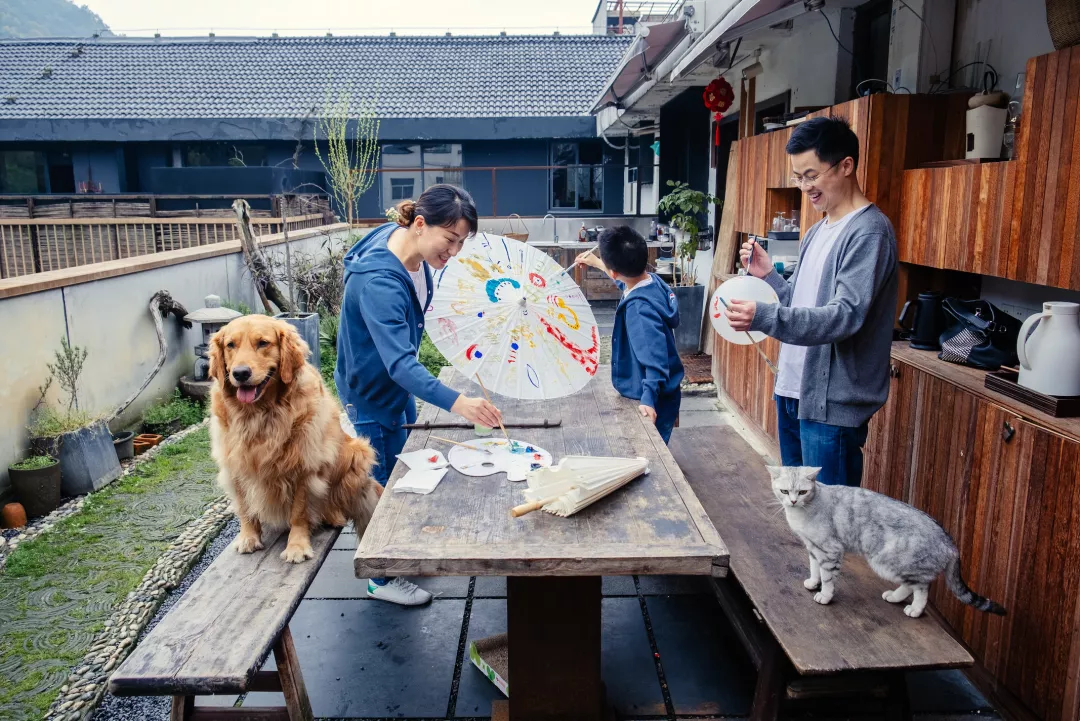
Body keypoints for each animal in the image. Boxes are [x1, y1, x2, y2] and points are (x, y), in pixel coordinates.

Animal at [208, 315, 382, 561]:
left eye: (263, 343)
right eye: (230, 345)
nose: (240, 373)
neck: (260, 414)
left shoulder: (304, 467)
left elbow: (299, 512)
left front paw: (297, 546)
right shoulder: (235, 464)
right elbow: (244, 507)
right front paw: (249, 537)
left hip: (357, 454)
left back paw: (332, 514)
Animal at [768, 468, 1002, 621]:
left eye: (802, 492)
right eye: (784, 491)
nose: (793, 501)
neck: (804, 510)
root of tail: (950, 542)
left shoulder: (830, 550)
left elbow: (827, 578)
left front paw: (825, 595)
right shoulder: (813, 548)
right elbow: (815, 569)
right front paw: (813, 582)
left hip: (890, 562)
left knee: (922, 588)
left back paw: (915, 610)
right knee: (911, 585)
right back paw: (894, 597)